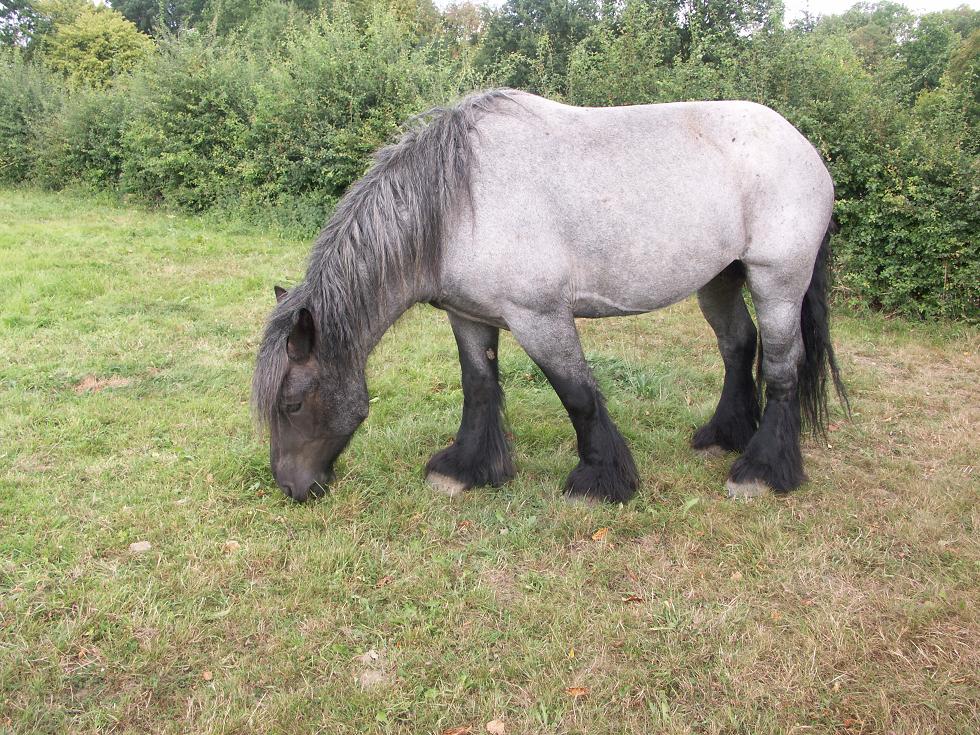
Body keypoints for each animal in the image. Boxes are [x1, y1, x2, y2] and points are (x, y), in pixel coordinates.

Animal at [255, 89, 848, 506]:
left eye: (292, 404)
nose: (290, 487)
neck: (458, 205)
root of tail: (802, 146)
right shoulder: (469, 317)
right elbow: (479, 388)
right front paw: (464, 470)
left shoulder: (539, 317)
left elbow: (577, 394)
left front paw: (600, 479)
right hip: (720, 279)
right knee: (738, 346)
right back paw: (726, 435)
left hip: (777, 281)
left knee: (782, 368)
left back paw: (760, 472)